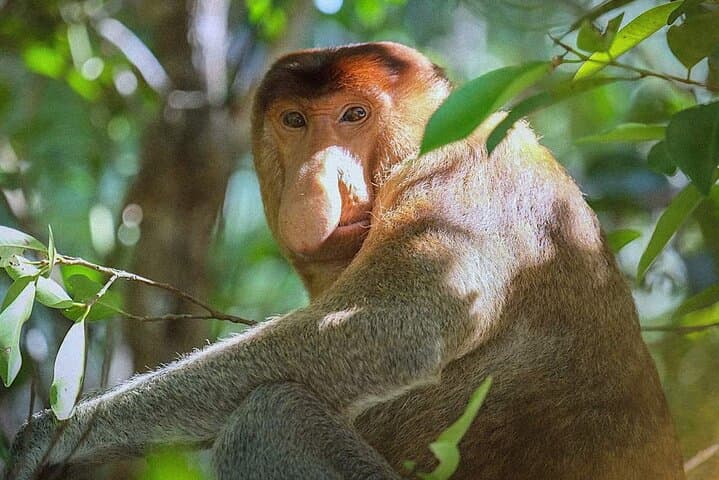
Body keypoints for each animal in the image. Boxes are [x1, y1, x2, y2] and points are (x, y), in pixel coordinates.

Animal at [5, 42, 685, 480]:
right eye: (294, 121)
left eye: (354, 115)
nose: (316, 178)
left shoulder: (460, 177)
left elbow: (392, 326)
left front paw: (53, 436)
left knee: (270, 416)